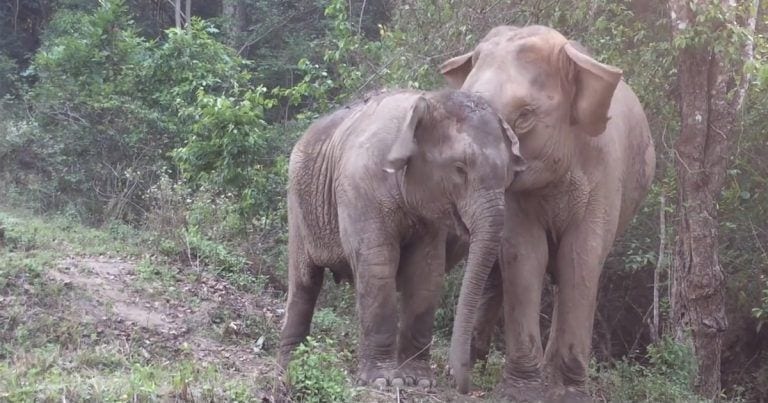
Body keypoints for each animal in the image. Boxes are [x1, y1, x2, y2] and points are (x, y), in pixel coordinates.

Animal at [276, 89, 526, 390]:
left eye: (509, 176)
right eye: (459, 168)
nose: (461, 382)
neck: (425, 103)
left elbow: (425, 273)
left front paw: (418, 381)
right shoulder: (360, 188)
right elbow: (377, 265)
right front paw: (382, 381)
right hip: (298, 201)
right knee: (304, 281)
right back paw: (289, 365)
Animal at [440, 25, 656, 401]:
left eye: (525, 116)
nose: (463, 387)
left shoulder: (605, 172)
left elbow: (580, 256)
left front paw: (567, 392)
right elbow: (524, 253)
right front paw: (522, 391)